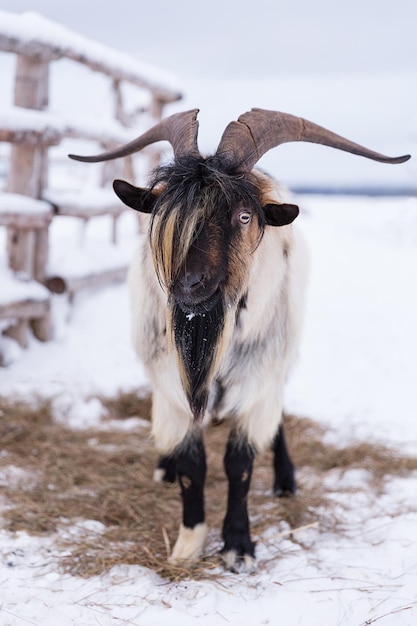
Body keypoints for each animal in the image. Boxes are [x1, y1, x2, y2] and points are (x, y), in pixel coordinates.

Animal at [69, 108, 410, 572]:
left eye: (244, 216)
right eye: (166, 217)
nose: (187, 284)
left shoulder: (257, 377)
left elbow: (240, 464)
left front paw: (238, 546)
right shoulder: (170, 382)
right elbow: (192, 465)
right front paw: (189, 544)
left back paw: (285, 480)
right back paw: (165, 466)